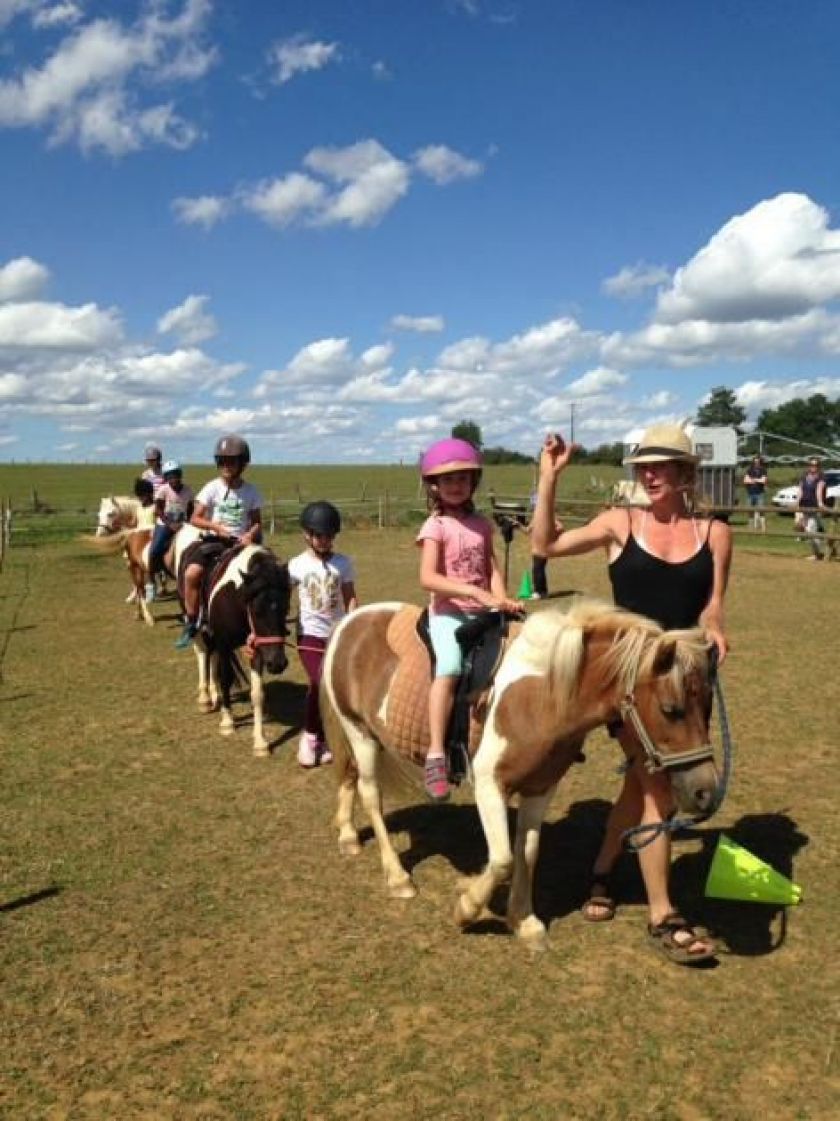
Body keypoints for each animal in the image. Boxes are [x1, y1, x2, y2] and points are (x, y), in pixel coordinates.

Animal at [173, 526, 291, 757]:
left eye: (286, 608)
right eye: (256, 610)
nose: (278, 663)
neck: (235, 597)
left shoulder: (258, 648)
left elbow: (257, 693)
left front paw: (260, 742)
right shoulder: (225, 643)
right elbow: (226, 678)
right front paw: (227, 722)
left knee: (212, 657)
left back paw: (214, 694)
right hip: (196, 624)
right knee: (202, 653)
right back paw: (205, 698)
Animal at [318, 600, 717, 950]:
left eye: (708, 707)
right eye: (671, 709)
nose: (706, 792)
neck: (542, 696)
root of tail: (351, 620)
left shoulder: (541, 787)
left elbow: (528, 852)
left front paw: (524, 922)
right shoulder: (490, 786)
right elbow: (503, 859)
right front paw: (466, 908)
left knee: (349, 776)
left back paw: (348, 834)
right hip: (359, 732)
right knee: (371, 794)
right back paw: (397, 877)